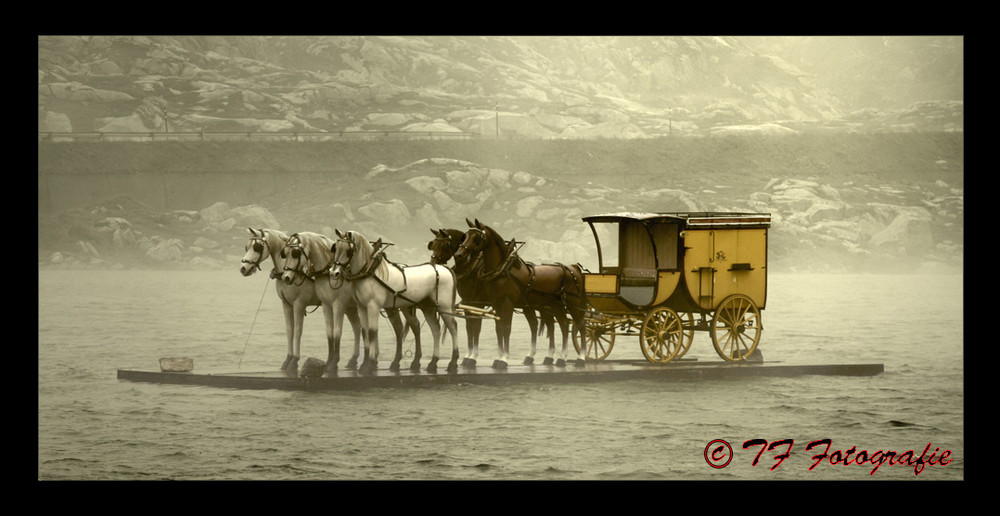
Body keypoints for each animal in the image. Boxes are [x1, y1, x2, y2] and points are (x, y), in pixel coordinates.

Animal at [280, 232, 424, 372]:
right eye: (284, 253)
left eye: (295, 253)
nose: (286, 277)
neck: (326, 274)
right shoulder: (326, 305)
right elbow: (330, 333)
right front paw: (329, 361)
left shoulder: (338, 304)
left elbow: (337, 332)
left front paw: (334, 363)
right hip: (390, 307)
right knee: (397, 328)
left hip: (405, 306)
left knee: (415, 325)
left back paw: (415, 361)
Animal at [332, 230, 464, 374]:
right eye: (335, 247)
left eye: (348, 250)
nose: (334, 272)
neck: (370, 272)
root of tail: (445, 269)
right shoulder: (362, 307)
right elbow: (365, 332)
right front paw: (364, 364)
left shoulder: (373, 306)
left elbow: (372, 332)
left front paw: (370, 364)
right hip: (427, 307)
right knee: (435, 329)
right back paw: (433, 363)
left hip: (444, 307)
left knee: (453, 328)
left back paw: (453, 363)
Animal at [430, 229, 556, 366]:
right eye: (433, 245)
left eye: (442, 245)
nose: (432, 263)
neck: (472, 268)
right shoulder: (469, 302)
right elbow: (470, 328)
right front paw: (469, 356)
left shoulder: (478, 303)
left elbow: (477, 327)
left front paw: (473, 357)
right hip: (527, 305)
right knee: (534, 324)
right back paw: (530, 356)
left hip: (545, 306)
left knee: (551, 325)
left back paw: (549, 356)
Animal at [452, 220, 588, 368]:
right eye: (465, 236)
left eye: (476, 238)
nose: (458, 255)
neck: (501, 269)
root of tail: (573, 268)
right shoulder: (494, 303)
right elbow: (497, 328)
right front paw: (497, 358)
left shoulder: (504, 304)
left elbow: (504, 328)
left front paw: (503, 359)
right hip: (552, 305)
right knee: (562, 325)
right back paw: (559, 358)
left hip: (572, 304)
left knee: (580, 325)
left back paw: (581, 358)